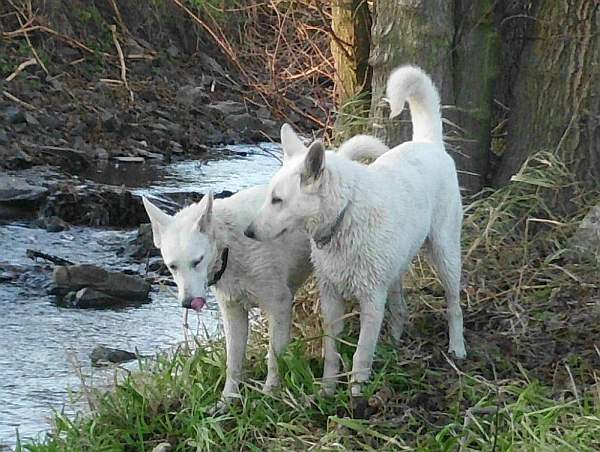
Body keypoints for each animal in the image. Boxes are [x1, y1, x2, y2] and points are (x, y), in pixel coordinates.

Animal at [246, 65, 466, 398]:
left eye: (277, 200)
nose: (248, 232)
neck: (343, 217)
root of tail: (429, 143)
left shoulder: (371, 301)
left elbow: (361, 354)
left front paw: (356, 396)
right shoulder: (331, 300)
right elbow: (331, 352)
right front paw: (327, 391)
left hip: (445, 254)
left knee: (454, 305)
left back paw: (457, 348)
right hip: (395, 268)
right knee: (400, 307)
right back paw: (394, 344)